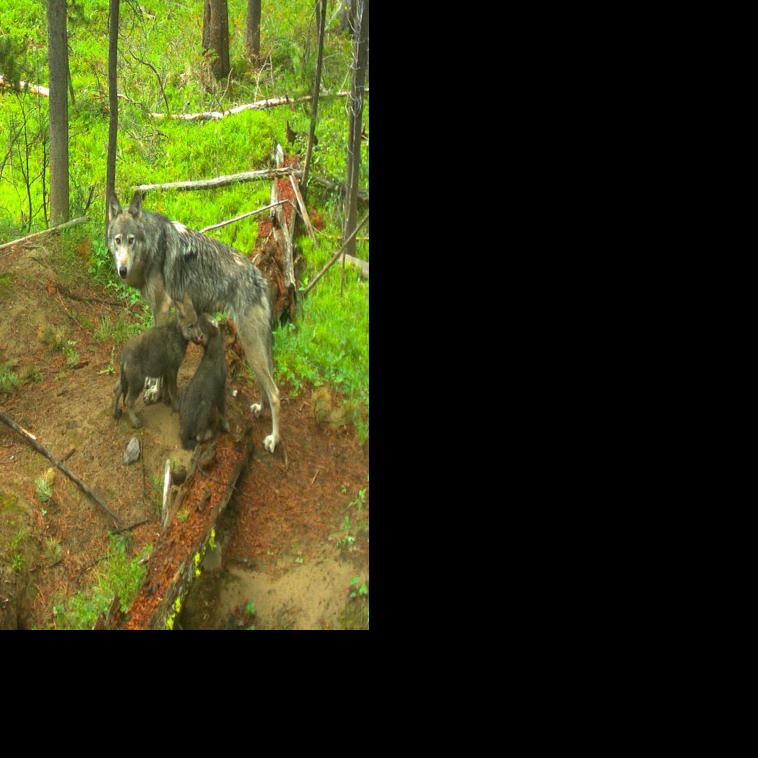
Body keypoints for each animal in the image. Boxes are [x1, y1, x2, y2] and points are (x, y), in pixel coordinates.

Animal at [112, 292, 201, 428]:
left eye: (197, 323)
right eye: (191, 326)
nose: (200, 336)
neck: (178, 334)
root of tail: (124, 355)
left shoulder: (166, 370)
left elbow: (166, 388)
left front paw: (166, 401)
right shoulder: (172, 369)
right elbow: (173, 390)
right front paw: (176, 406)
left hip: (126, 379)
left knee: (116, 390)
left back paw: (116, 412)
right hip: (137, 382)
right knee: (128, 401)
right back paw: (135, 421)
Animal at [179, 313, 229, 449]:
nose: (202, 313)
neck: (213, 354)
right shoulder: (221, 388)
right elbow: (222, 410)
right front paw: (226, 426)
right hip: (206, 406)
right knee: (198, 436)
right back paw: (210, 433)